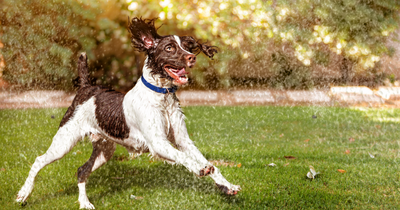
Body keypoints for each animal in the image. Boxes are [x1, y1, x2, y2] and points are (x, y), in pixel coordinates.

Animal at [15, 17, 239, 208]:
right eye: (169, 48)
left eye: (188, 46)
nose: (191, 57)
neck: (161, 97)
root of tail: (87, 87)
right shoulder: (158, 143)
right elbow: (184, 158)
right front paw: (200, 169)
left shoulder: (183, 140)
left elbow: (207, 162)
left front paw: (227, 185)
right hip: (65, 140)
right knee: (39, 161)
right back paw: (23, 194)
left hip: (104, 149)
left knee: (82, 170)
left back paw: (85, 203)